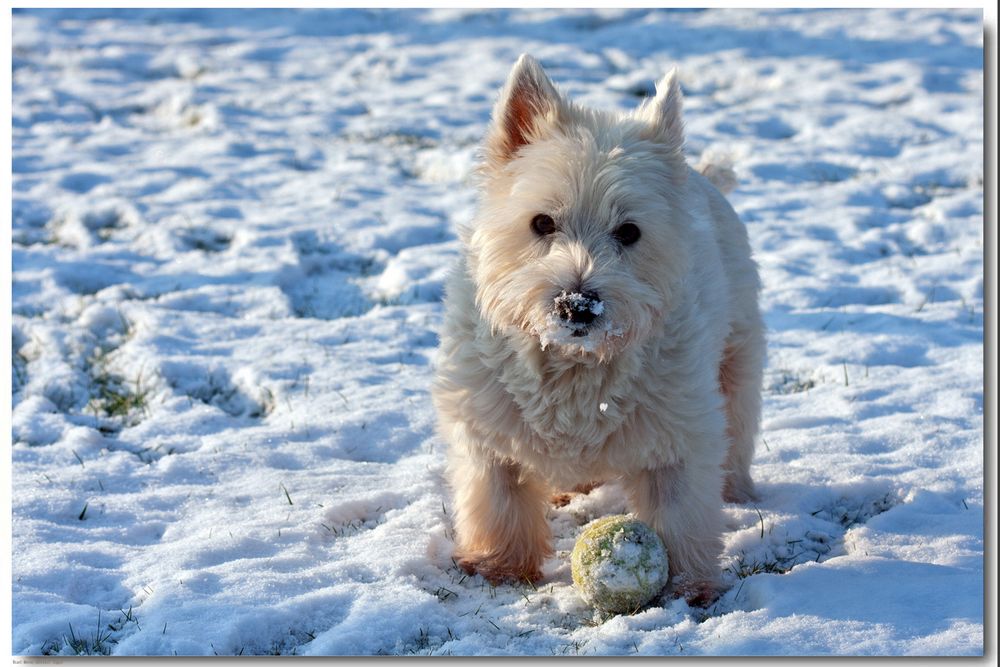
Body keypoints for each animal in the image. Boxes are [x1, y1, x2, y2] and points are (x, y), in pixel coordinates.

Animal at [432, 54, 764, 604]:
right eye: (542, 222)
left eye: (629, 231)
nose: (577, 305)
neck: (573, 366)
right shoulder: (487, 425)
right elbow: (497, 498)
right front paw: (498, 566)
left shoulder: (680, 430)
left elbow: (680, 512)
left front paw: (689, 585)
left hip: (736, 360)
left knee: (736, 433)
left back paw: (736, 489)